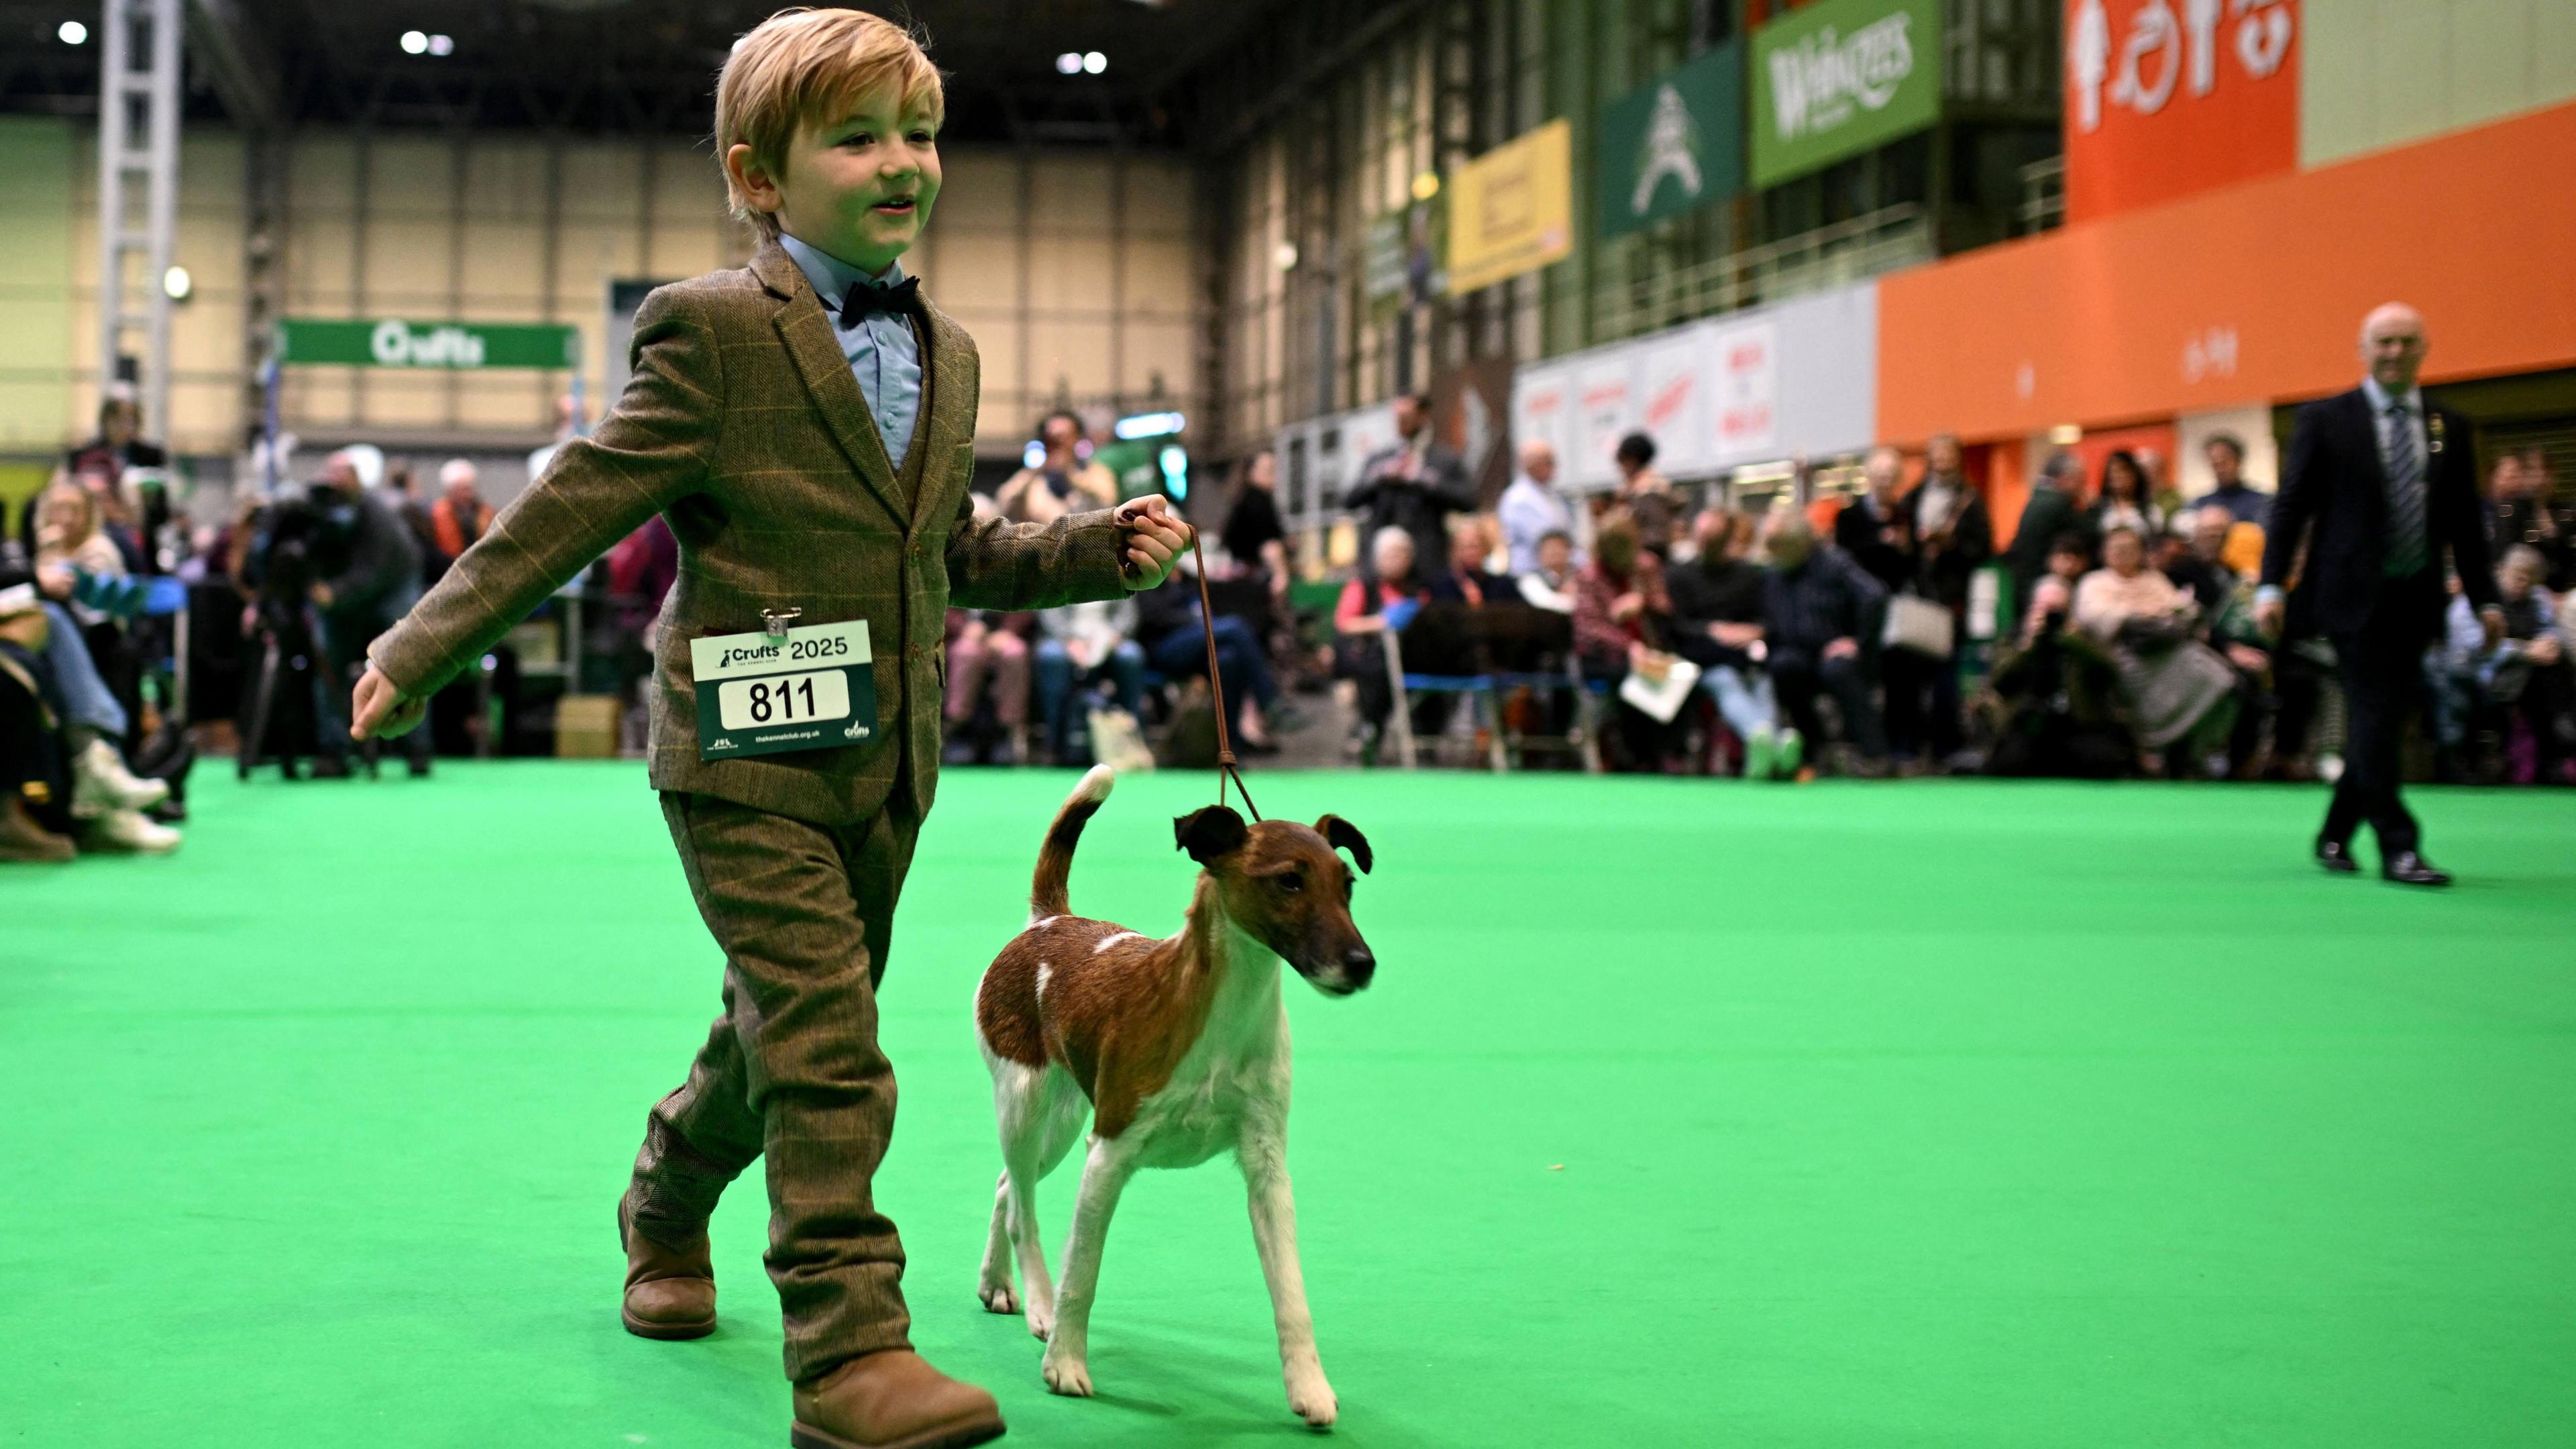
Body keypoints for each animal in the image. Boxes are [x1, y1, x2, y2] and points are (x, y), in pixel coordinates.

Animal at [968, 768, 1370, 1423]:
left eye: (1348, 885)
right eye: (1288, 881)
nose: (1362, 963)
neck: (1219, 1020)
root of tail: (1048, 922)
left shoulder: (1266, 1166)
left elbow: (1291, 1294)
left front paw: (1309, 1388)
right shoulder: (1108, 1154)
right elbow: (1084, 1273)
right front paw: (1065, 1364)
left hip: (1063, 1121)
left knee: (1008, 1186)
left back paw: (998, 1284)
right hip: (1024, 1103)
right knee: (1024, 1212)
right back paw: (1039, 1305)